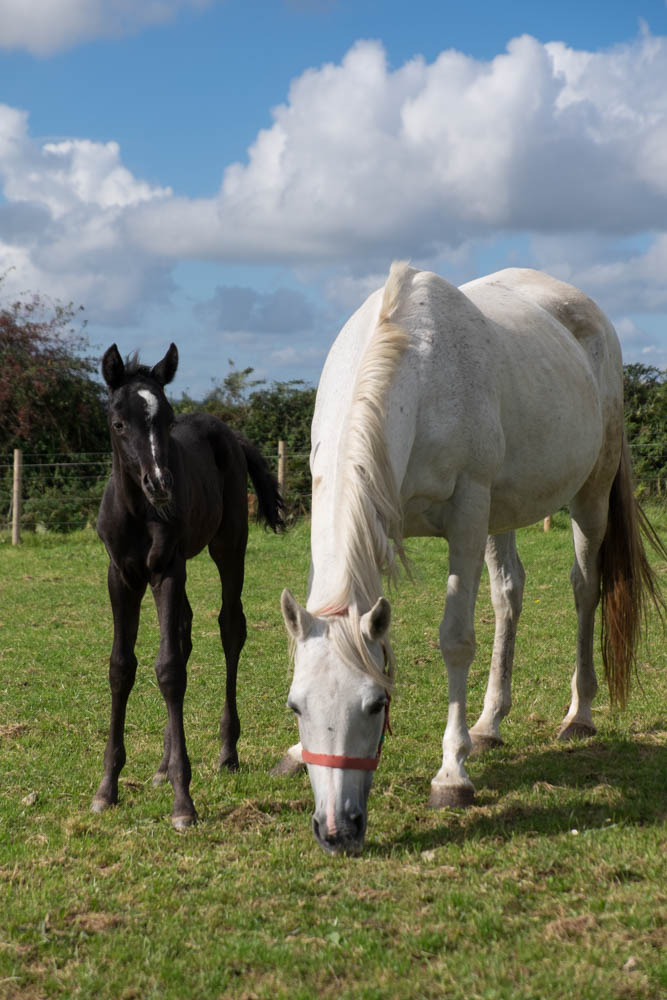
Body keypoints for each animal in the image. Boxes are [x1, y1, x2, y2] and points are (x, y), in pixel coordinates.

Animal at [92, 344, 284, 828]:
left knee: (230, 627)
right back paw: (162, 767)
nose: (160, 484)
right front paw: (107, 789)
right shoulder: (120, 576)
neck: (137, 511)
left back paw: (227, 752)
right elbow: (121, 667)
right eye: (118, 423)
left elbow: (169, 669)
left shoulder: (166, 570)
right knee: (184, 632)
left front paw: (183, 802)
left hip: (229, 545)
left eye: (166, 419)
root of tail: (229, 434)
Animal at [276, 262, 664, 856]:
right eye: (297, 706)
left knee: (585, 587)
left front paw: (451, 776)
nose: (337, 830)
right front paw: (297, 756)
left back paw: (579, 715)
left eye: (376, 704)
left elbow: (455, 640)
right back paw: (489, 724)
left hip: (588, 496)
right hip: (500, 515)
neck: (413, 369)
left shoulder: (466, 510)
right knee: (509, 594)